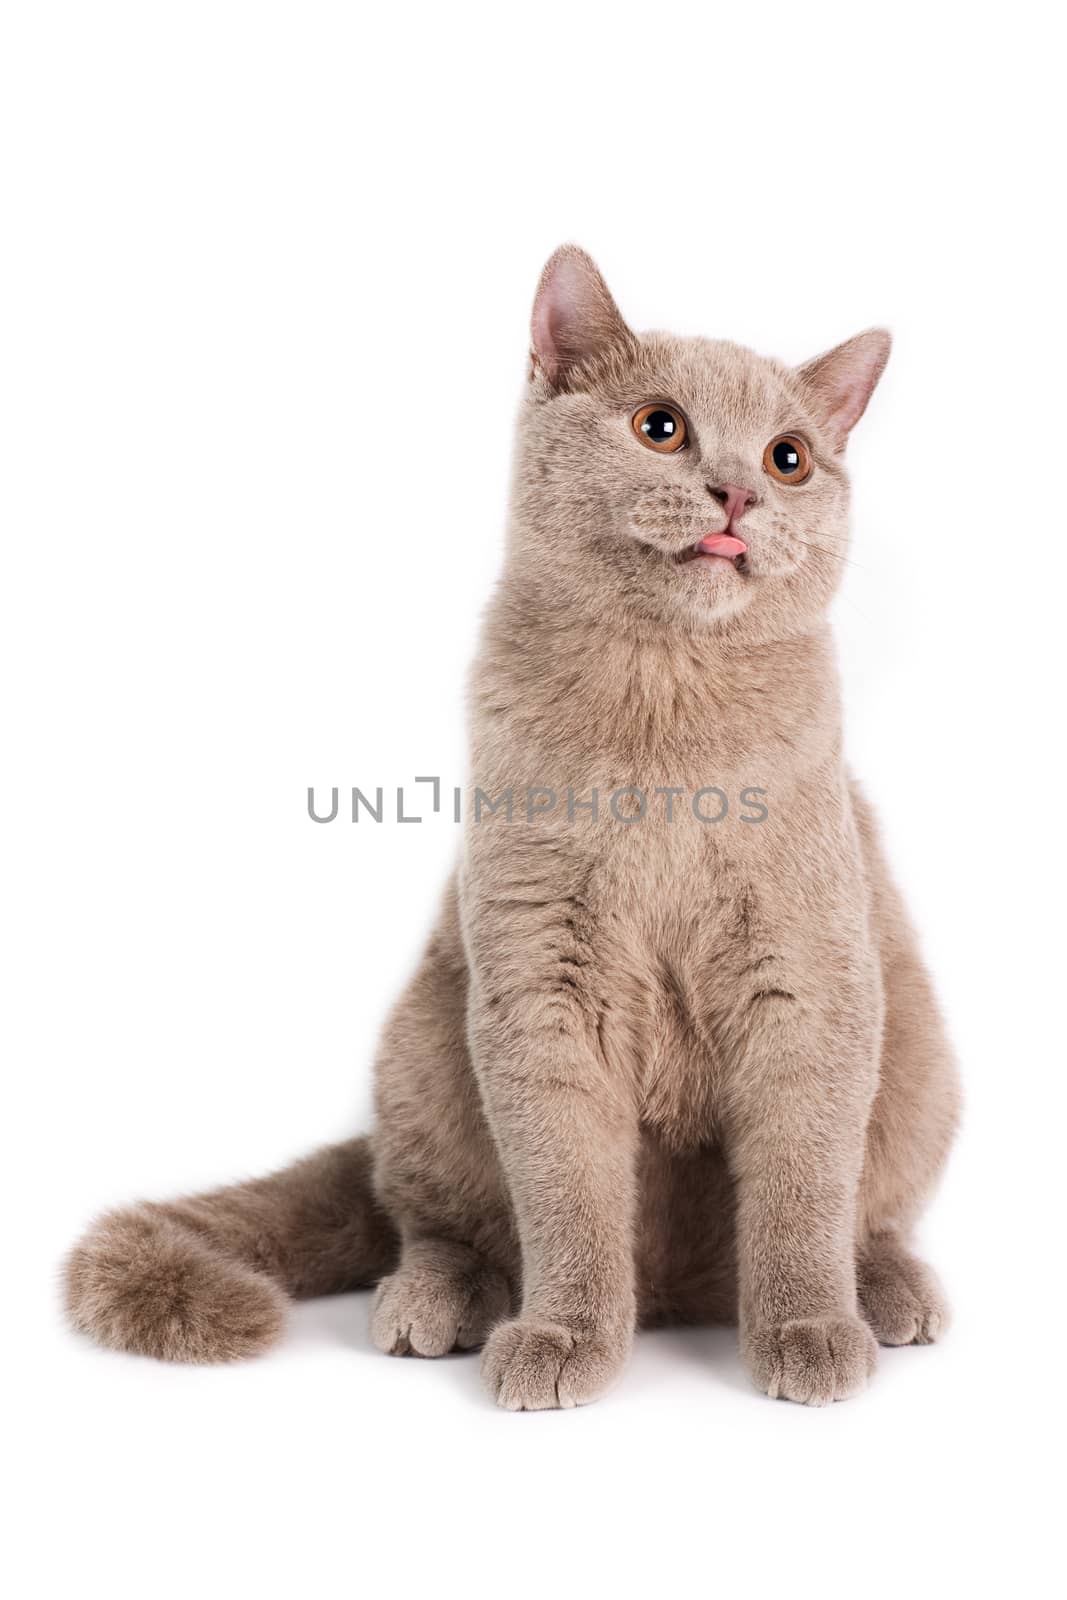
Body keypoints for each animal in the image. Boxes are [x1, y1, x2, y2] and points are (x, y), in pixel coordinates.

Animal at [66, 243, 959, 1408]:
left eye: (790, 457)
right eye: (660, 426)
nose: (737, 489)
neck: (663, 715)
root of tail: (681, 1291)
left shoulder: (809, 975)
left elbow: (802, 1184)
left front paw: (807, 1326)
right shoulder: (540, 981)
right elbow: (566, 1191)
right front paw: (566, 1334)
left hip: (921, 1060)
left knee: (868, 1209)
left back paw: (885, 1292)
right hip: (425, 1046)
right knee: (438, 1221)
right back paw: (432, 1301)